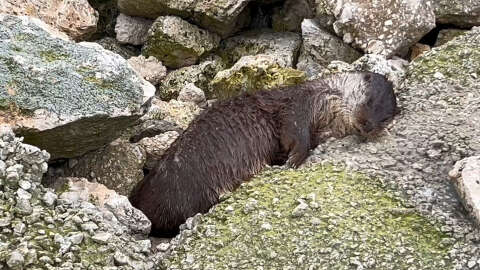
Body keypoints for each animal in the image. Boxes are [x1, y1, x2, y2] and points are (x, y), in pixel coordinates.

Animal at [128, 70, 398, 235]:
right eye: (369, 101)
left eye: (386, 117)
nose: (368, 125)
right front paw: (294, 160)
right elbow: (295, 133)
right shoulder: (298, 104)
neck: (325, 101)